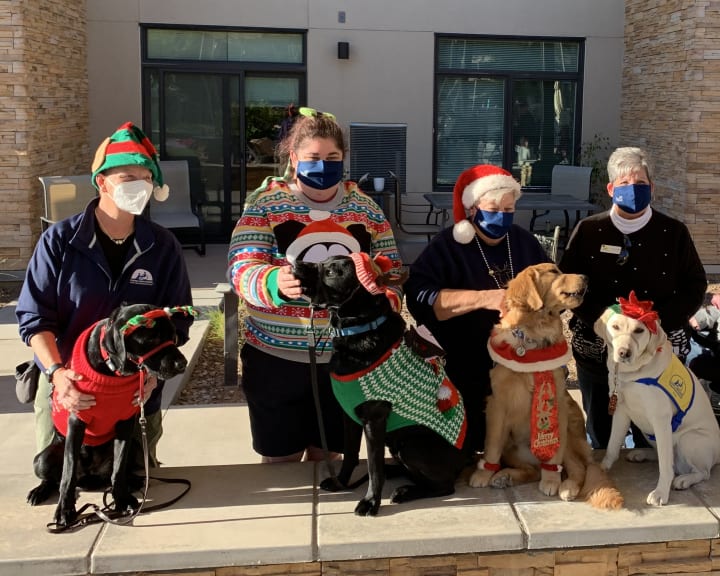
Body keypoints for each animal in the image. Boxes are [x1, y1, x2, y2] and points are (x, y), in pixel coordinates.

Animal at [27, 304, 194, 528]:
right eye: (152, 339)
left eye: (174, 335)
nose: (182, 363)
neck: (111, 370)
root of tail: (89, 477)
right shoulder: (77, 421)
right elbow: (67, 474)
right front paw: (65, 510)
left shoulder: (125, 423)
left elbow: (118, 467)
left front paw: (121, 499)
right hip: (42, 459)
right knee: (55, 477)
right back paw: (39, 491)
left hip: (136, 447)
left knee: (116, 472)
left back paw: (134, 481)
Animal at [292, 254, 466, 516]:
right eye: (325, 261)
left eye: (331, 271)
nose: (295, 263)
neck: (359, 331)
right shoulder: (349, 415)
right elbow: (351, 454)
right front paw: (341, 482)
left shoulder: (373, 419)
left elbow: (374, 469)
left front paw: (370, 502)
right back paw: (395, 474)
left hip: (410, 445)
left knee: (445, 486)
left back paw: (405, 491)